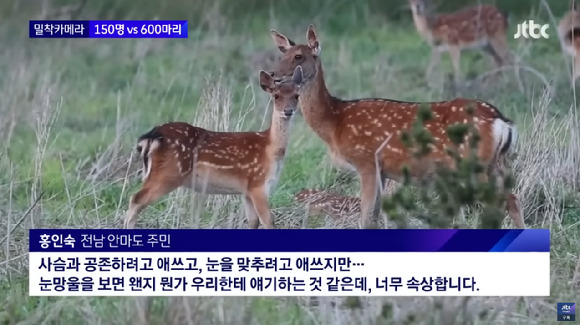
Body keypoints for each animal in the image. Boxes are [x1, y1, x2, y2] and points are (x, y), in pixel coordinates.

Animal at [122, 65, 304, 228]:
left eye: (296, 96)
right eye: (276, 96)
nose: (288, 111)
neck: (271, 149)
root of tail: (151, 136)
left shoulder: (247, 190)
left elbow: (253, 222)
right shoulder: (258, 183)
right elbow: (268, 221)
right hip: (169, 173)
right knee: (136, 199)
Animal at [268, 24, 524, 228]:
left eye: (299, 56)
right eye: (281, 54)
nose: (274, 75)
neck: (335, 121)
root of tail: (501, 121)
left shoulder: (366, 161)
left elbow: (365, 217)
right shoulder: (382, 171)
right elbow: (375, 216)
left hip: (474, 163)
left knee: (500, 203)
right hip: (496, 164)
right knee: (513, 200)